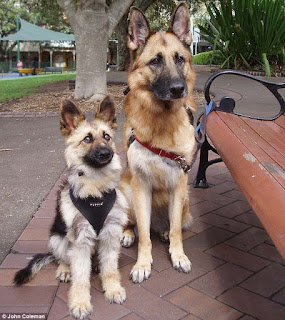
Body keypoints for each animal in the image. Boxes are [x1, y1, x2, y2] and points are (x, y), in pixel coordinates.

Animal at [14, 97, 127, 320]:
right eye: (87, 139)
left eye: (107, 137)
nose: (107, 153)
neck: (96, 189)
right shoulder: (80, 240)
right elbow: (80, 277)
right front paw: (80, 303)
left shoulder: (110, 235)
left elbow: (110, 269)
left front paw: (112, 289)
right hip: (58, 239)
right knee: (64, 259)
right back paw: (65, 270)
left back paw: (97, 264)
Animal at [118, 2, 196, 282]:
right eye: (155, 61)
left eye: (179, 59)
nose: (178, 89)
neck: (163, 122)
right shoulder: (141, 187)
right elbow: (143, 235)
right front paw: (142, 263)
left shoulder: (179, 184)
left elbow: (176, 230)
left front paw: (178, 255)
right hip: (127, 193)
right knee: (132, 224)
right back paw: (127, 233)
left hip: (185, 199)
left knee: (172, 225)